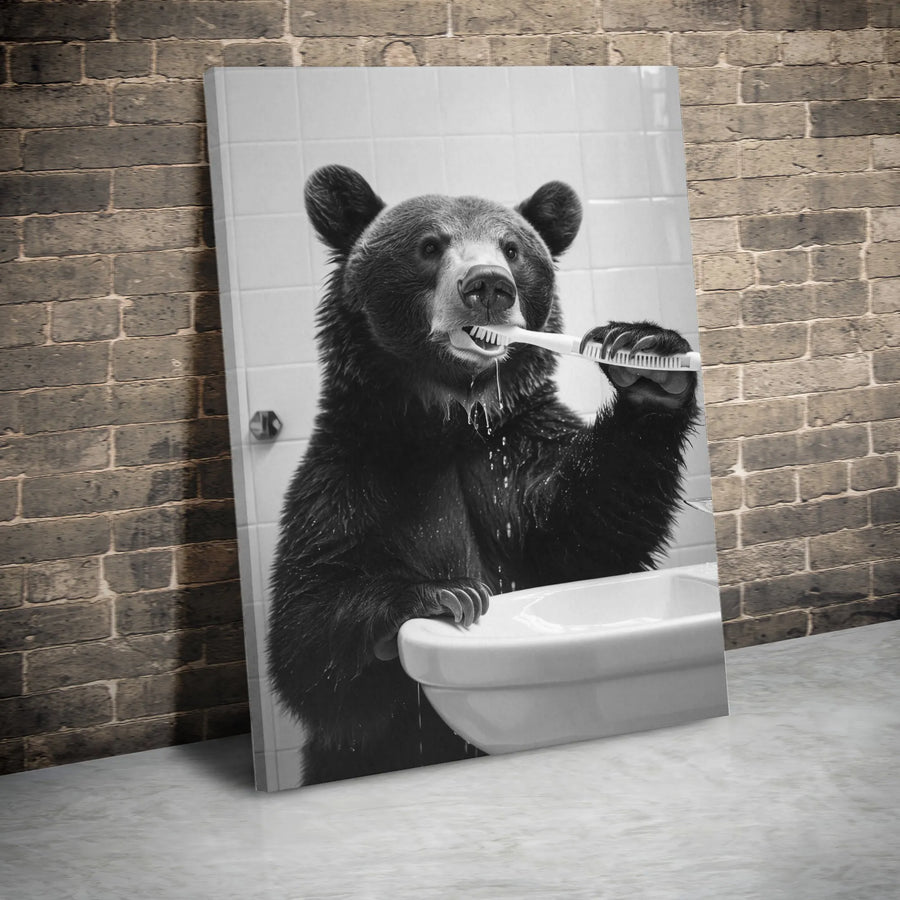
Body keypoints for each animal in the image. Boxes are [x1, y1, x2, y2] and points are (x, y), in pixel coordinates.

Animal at [268, 164, 699, 786]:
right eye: (429, 245)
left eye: (512, 248)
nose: (489, 286)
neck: (451, 422)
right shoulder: (353, 477)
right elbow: (307, 635)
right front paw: (444, 593)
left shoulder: (517, 457)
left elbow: (590, 532)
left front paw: (646, 357)